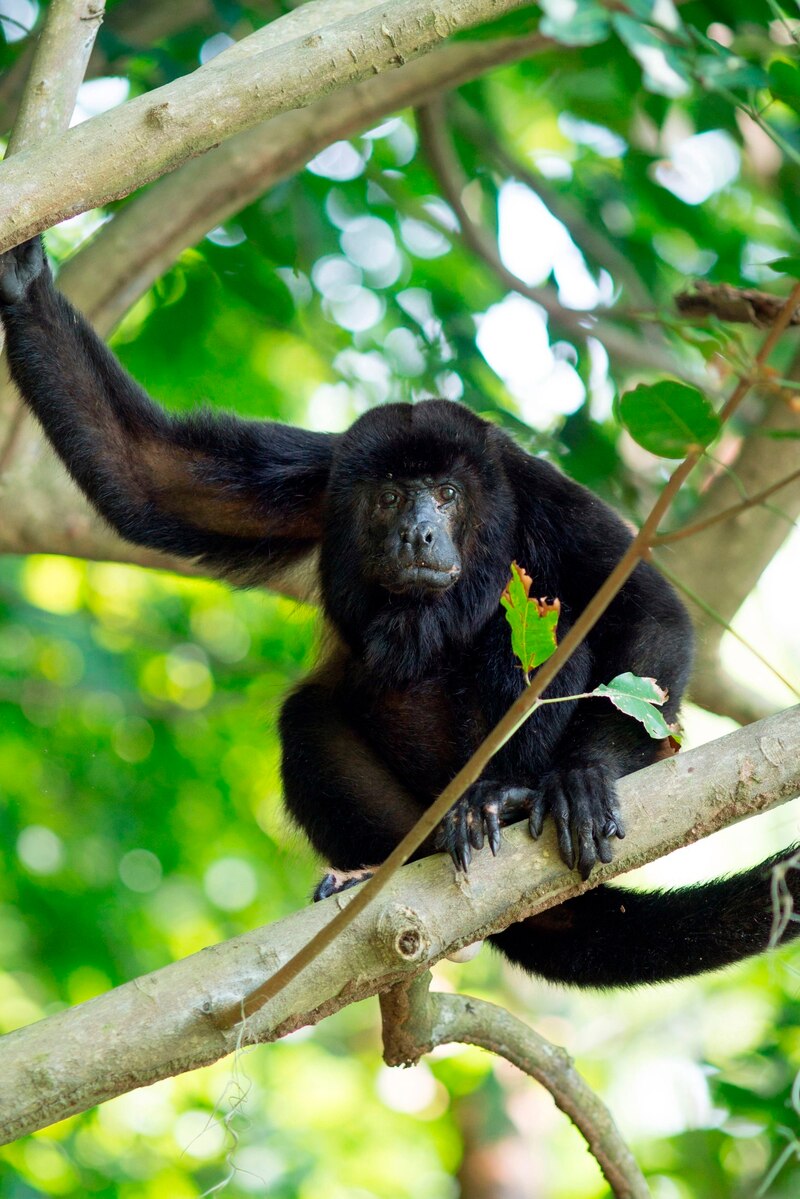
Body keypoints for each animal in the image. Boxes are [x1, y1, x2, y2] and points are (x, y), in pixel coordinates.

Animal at [0, 238, 796, 987]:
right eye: (387, 496)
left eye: (445, 494)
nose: (418, 532)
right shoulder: (321, 476)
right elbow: (153, 475)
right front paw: (23, 281)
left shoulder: (536, 490)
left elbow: (649, 611)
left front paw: (584, 776)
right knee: (307, 716)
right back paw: (399, 860)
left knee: (544, 635)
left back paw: (507, 798)